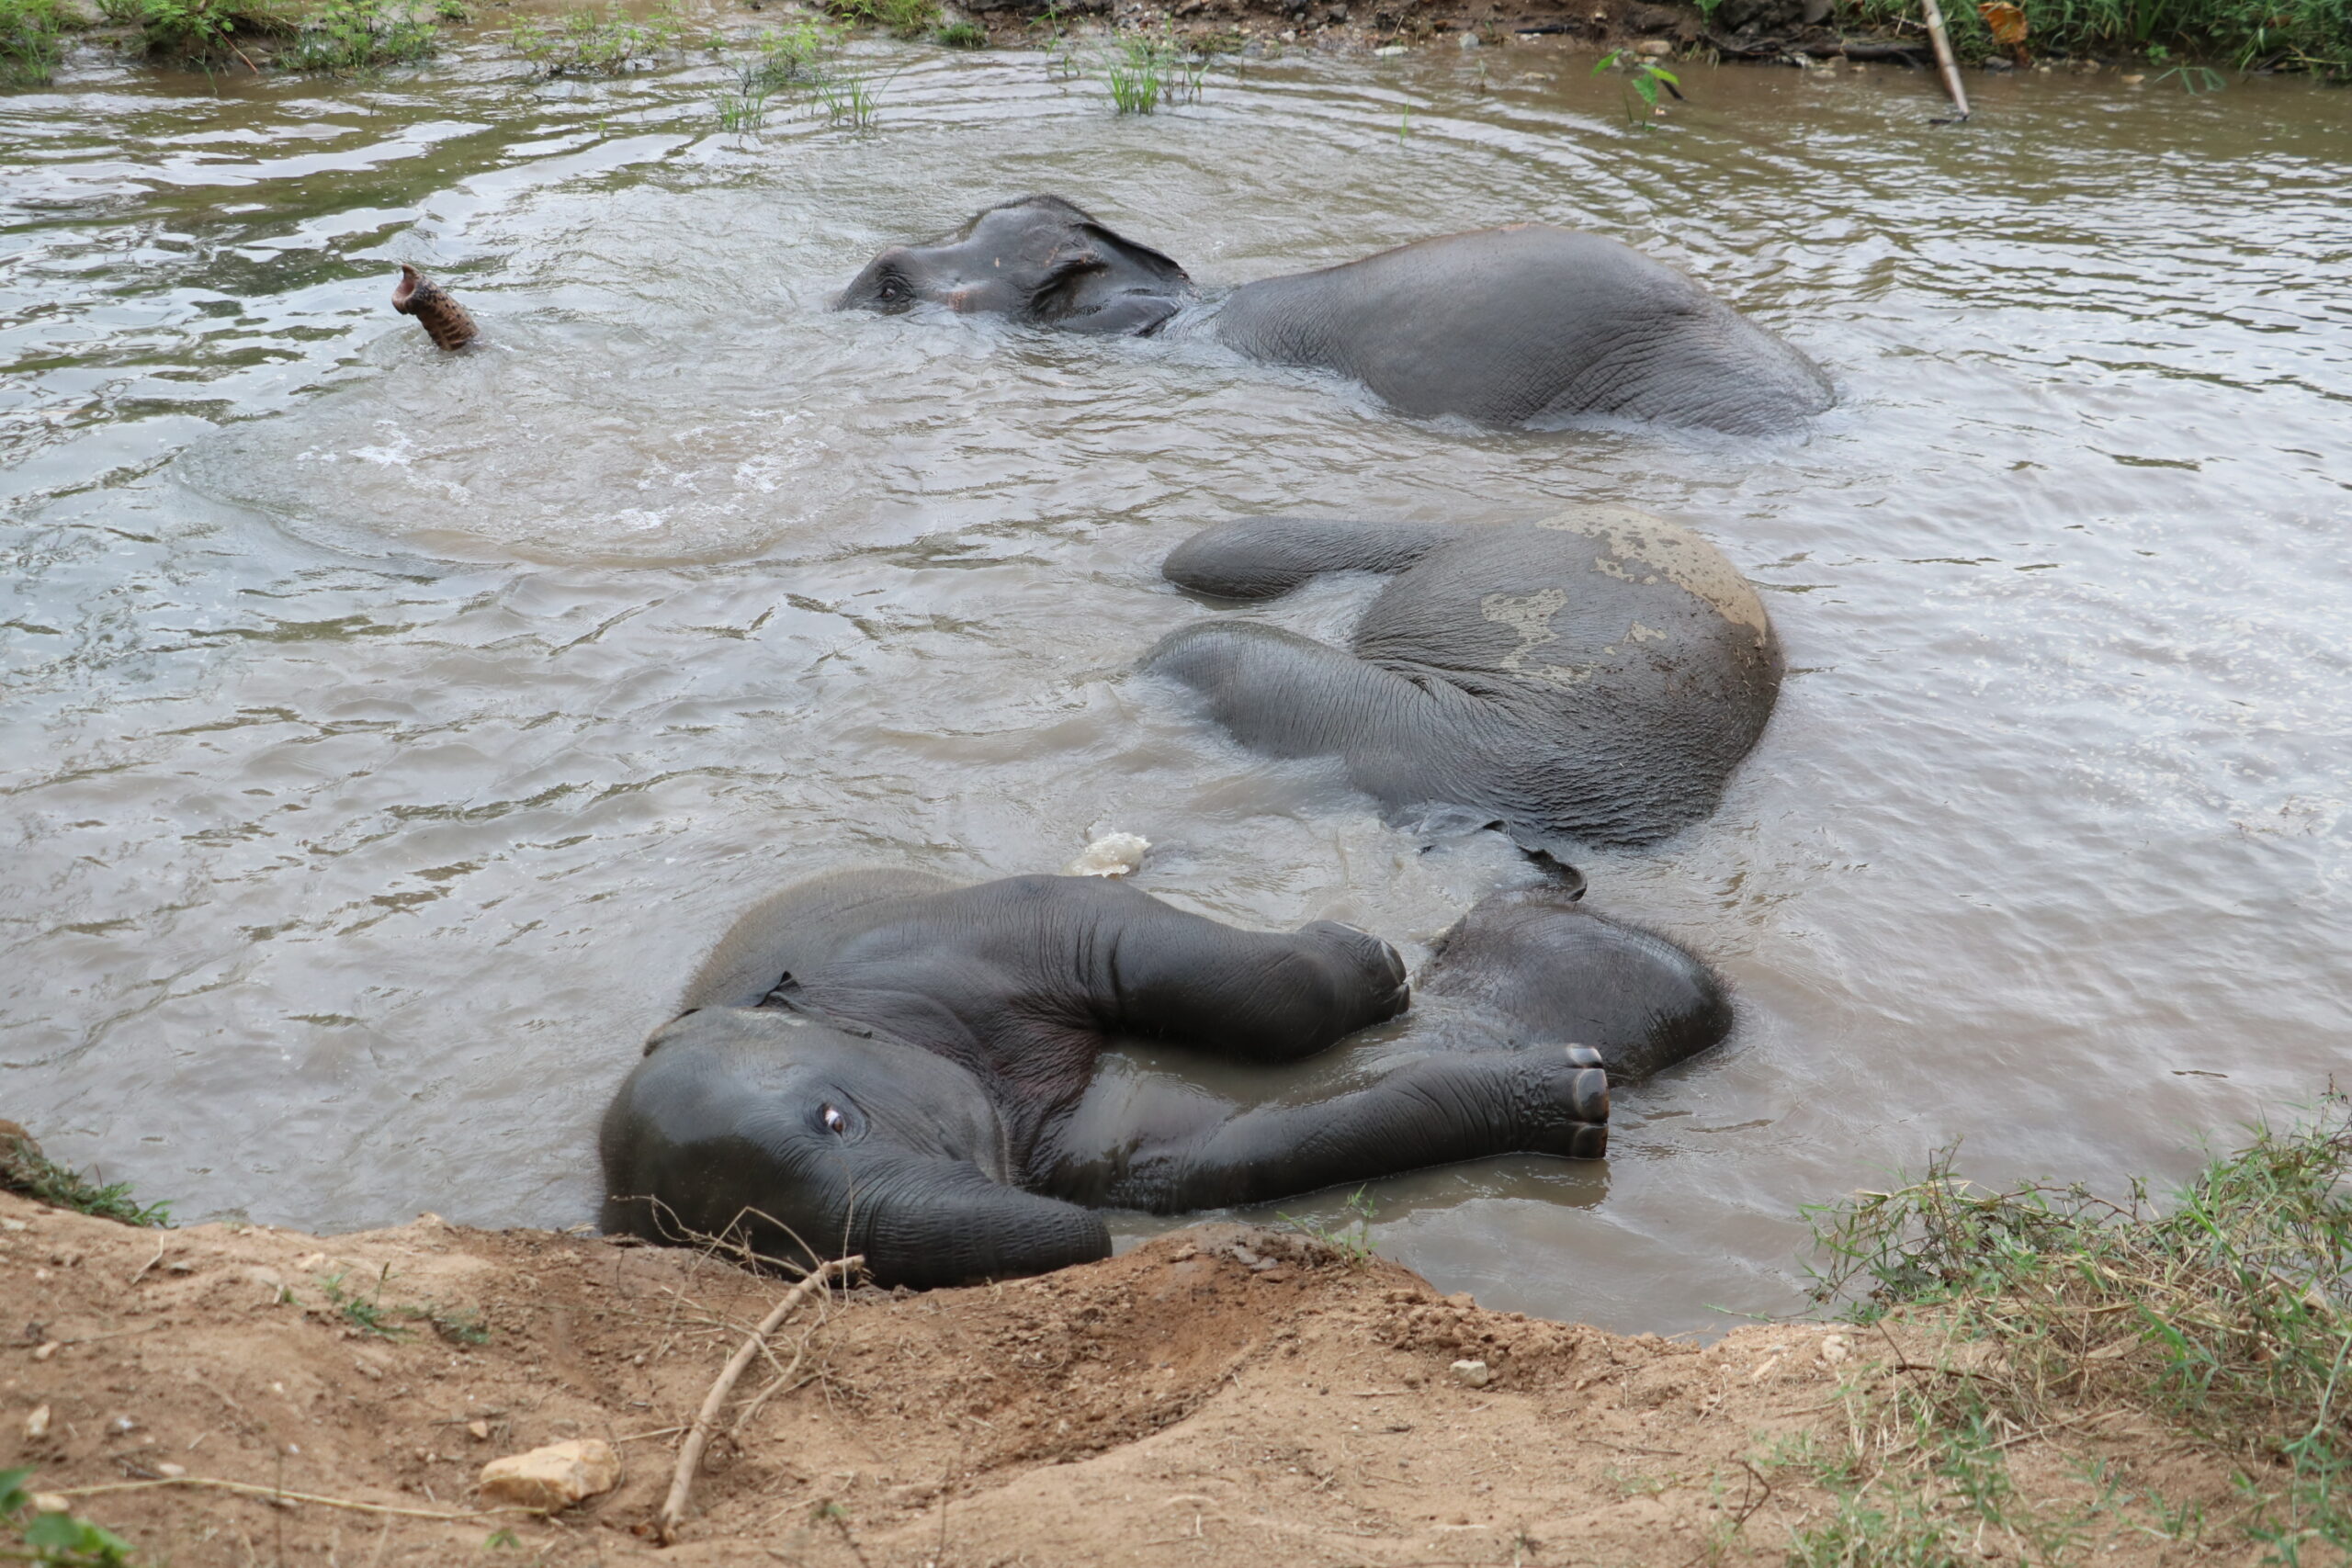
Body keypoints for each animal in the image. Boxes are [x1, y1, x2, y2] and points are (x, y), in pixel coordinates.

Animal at [598, 868, 1729, 1287]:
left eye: (835, 1119)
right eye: (774, 1259)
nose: (1105, 1247)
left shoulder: (945, 944)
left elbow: (1116, 936)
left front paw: (1375, 967)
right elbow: (1223, 1154)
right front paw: (1576, 1095)